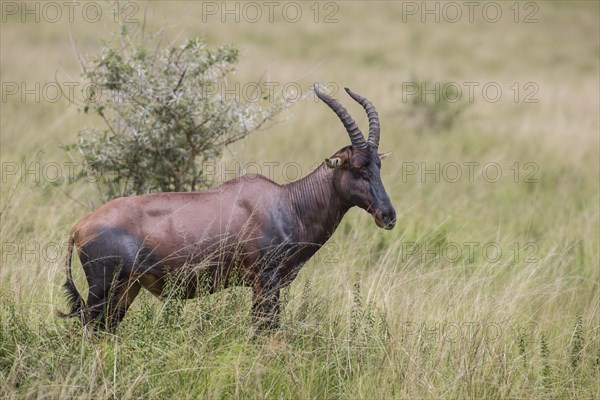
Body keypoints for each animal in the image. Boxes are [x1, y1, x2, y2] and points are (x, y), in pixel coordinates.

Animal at [58, 83, 396, 332]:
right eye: (357, 167)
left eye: (378, 165)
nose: (388, 216)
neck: (288, 203)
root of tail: (79, 227)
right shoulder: (265, 282)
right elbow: (266, 332)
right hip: (103, 290)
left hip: (127, 289)